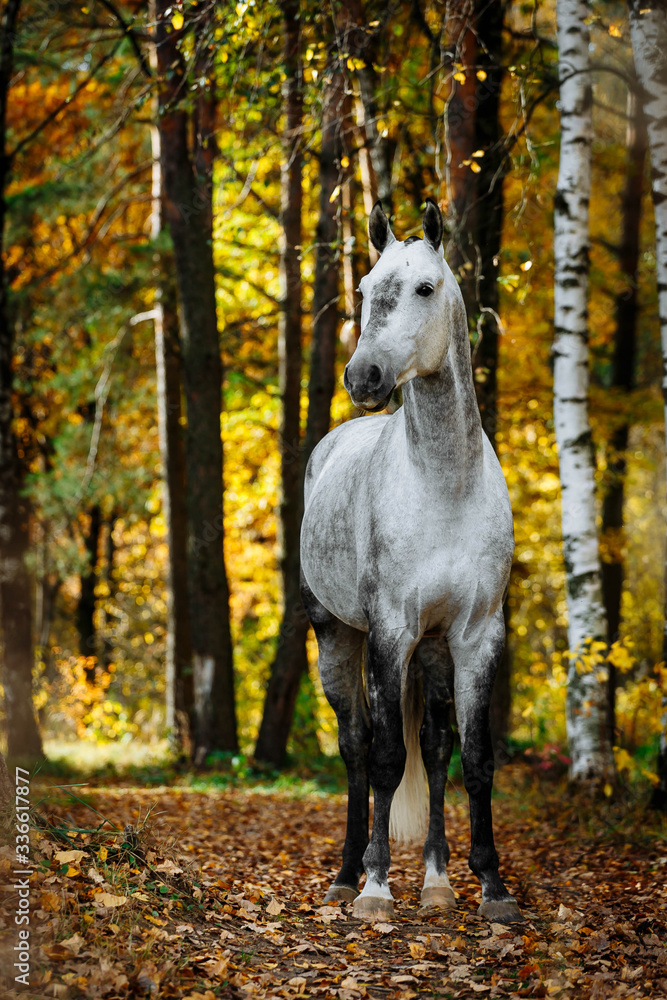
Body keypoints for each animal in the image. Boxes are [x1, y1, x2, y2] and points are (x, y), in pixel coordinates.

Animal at [300, 199, 521, 924]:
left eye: (425, 287)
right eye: (366, 290)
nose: (361, 377)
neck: (445, 485)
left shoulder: (476, 637)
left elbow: (474, 758)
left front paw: (491, 888)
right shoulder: (390, 632)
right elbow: (385, 759)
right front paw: (375, 888)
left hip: (431, 649)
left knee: (437, 746)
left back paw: (436, 879)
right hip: (338, 639)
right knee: (355, 750)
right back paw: (346, 876)